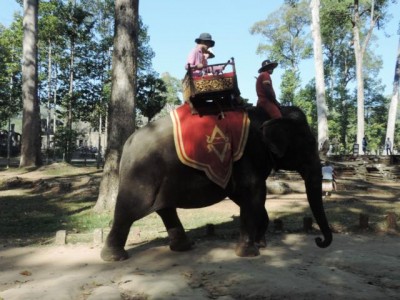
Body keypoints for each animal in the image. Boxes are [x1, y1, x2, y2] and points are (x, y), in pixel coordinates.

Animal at [101, 106, 332, 262]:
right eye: (310, 144)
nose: (319, 241)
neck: (274, 112)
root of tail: (128, 143)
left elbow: (246, 197)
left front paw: (260, 243)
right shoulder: (248, 156)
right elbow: (254, 192)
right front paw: (249, 252)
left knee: (165, 209)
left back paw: (184, 247)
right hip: (141, 175)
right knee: (128, 212)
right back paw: (114, 257)